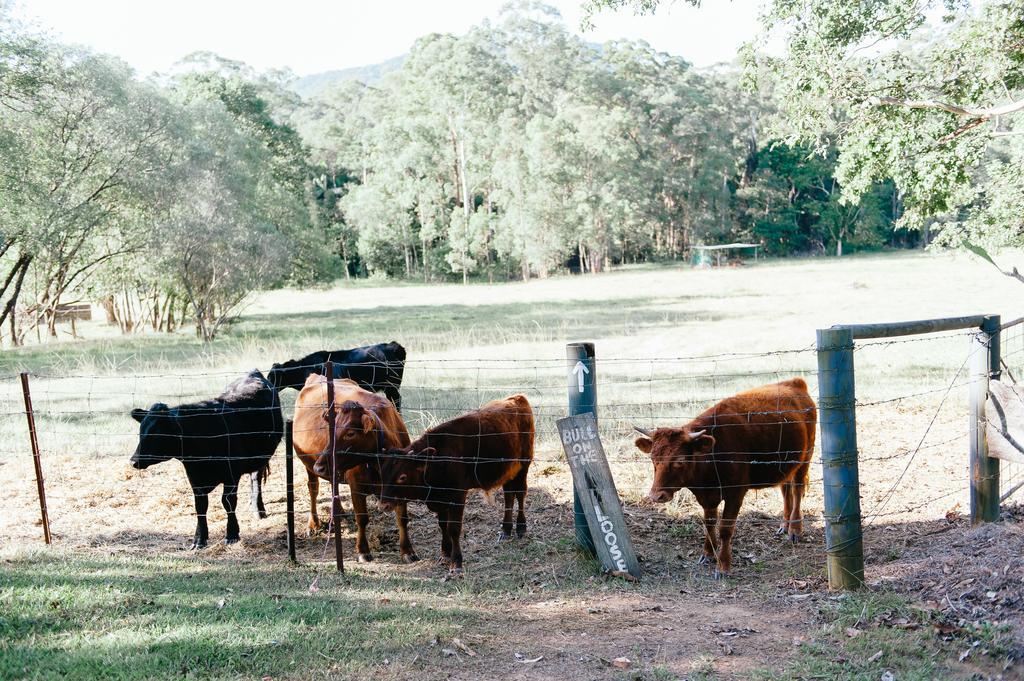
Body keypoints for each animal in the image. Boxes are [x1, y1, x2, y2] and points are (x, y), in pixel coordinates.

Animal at [132, 368, 286, 548]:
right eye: (141, 432)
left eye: (157, 434)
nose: (134, 460)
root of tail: (253, 372)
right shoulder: (195, 479)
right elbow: (200, 506)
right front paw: (199, 539)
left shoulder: (231, 475)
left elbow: (228, 502)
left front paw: (232, 534)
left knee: (256, 480)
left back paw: (258, 509)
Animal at [290, 374, 417, 561]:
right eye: (332, 431)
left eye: (350, 433)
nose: (319, 466)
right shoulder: (356, 486)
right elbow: (362, 519)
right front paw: (363, 551)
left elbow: (402, 518)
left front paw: (407, 551)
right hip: (308, 463)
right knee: (313, 490)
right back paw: (313, 524)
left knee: (333, 486)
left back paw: (339, 513)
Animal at [376, 393, 536, 573]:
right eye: (382, 474)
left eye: (402, 477)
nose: (383, 505)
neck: (439, 459)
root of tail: (517, 397)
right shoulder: (440, 498)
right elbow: (442, 525)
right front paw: (445, 553)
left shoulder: (458, 495)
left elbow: (453, 528)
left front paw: (456, 562)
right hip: (508, 470)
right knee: (509, 495)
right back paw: (506, 529)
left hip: (524, 464)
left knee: (520, 494)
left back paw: (521, 527)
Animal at [630, 374, 815, 577]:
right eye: (653, 458)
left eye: (680, 460)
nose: (656, 496)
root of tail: (794, 382)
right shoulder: (707, 497)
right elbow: (709, 523)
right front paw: (708, 554)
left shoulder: (735, 494)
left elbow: (725, 529)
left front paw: (723, 565)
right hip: (786, 466)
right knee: (786, 490)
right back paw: (785, 525)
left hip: (805, 459)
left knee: (797, 491)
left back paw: (795, 529)